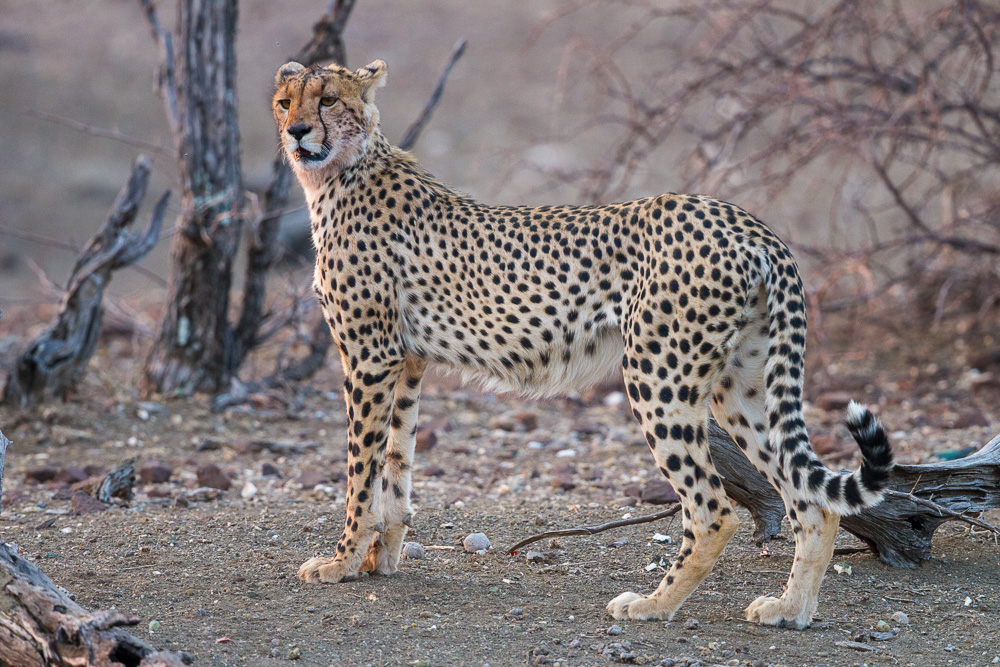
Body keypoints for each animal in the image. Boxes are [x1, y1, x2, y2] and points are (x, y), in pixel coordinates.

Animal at [272, 60, 892, 628]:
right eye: (284, 102)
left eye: (328, 100)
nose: (298, 132)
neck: (342, 172)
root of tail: (746, 221)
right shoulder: (407, 362)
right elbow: (396, 466)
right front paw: (382, 558)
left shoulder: (369, 358)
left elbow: (360, 471)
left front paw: (341, 563)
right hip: (742, 386)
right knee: (812, 501)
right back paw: (791, 609)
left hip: (659, 376)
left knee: (713, 509)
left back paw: (652, 605)